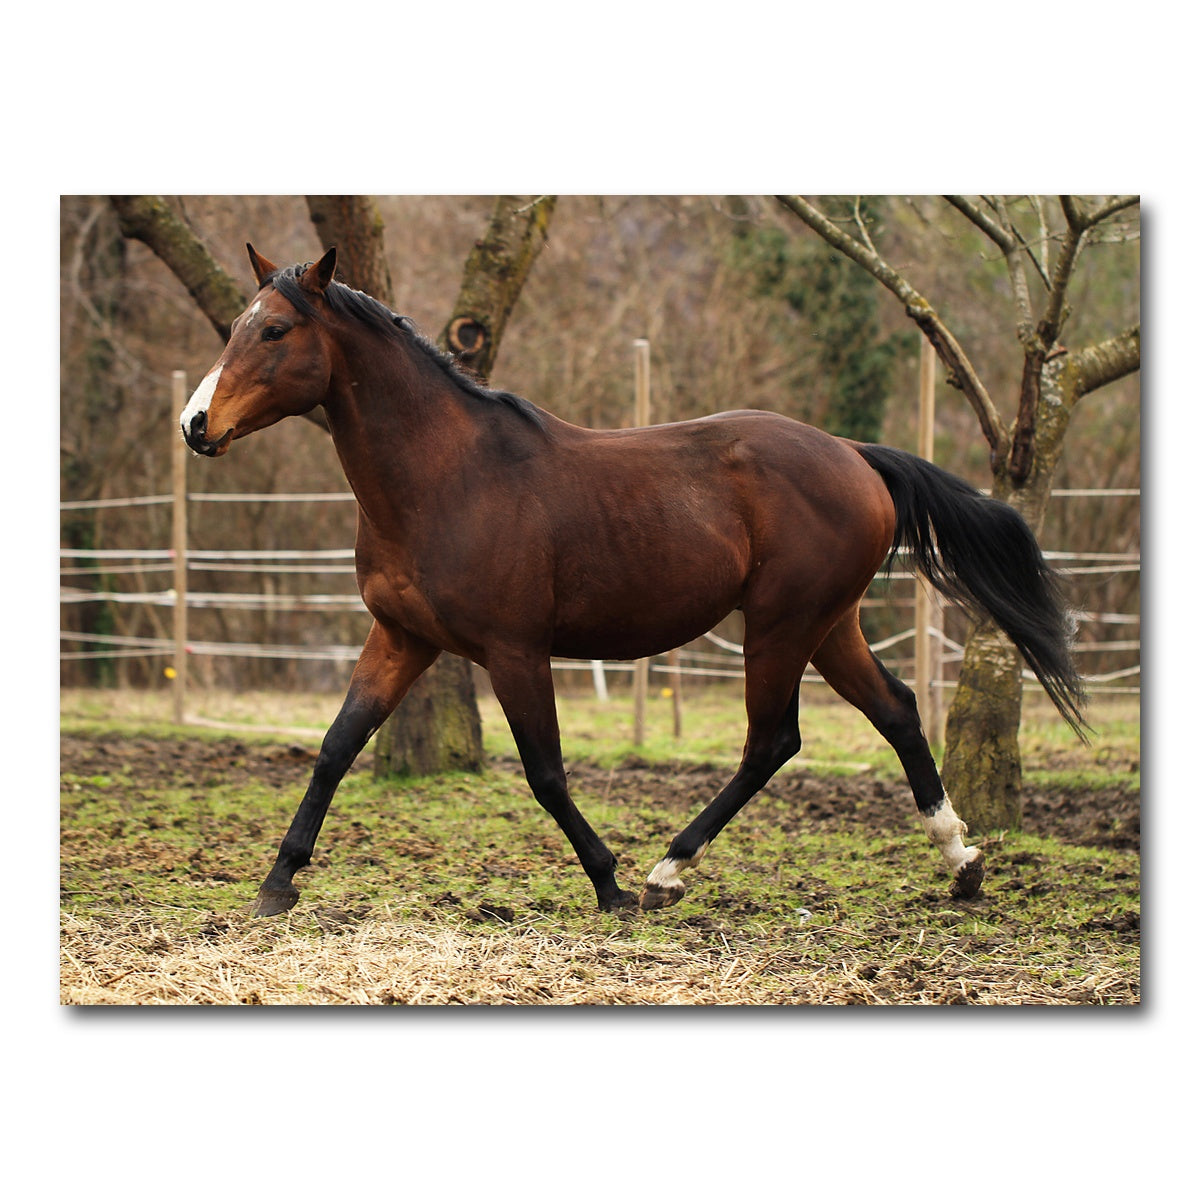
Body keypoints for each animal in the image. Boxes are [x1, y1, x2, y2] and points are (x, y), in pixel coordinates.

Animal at [180, 244, 1086, 918]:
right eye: (240, 326)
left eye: (275, 330)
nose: (195, 425)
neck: (446, 476)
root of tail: (854, 454)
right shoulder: (400, 637)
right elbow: (336, 746)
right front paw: (277, 884)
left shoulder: (514, 651)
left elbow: (545, 772)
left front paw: (608, 881)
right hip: (830, 625)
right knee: (894, 711)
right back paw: (962, 862)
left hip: (782, 625)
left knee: (772, 741)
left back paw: (665, 873)